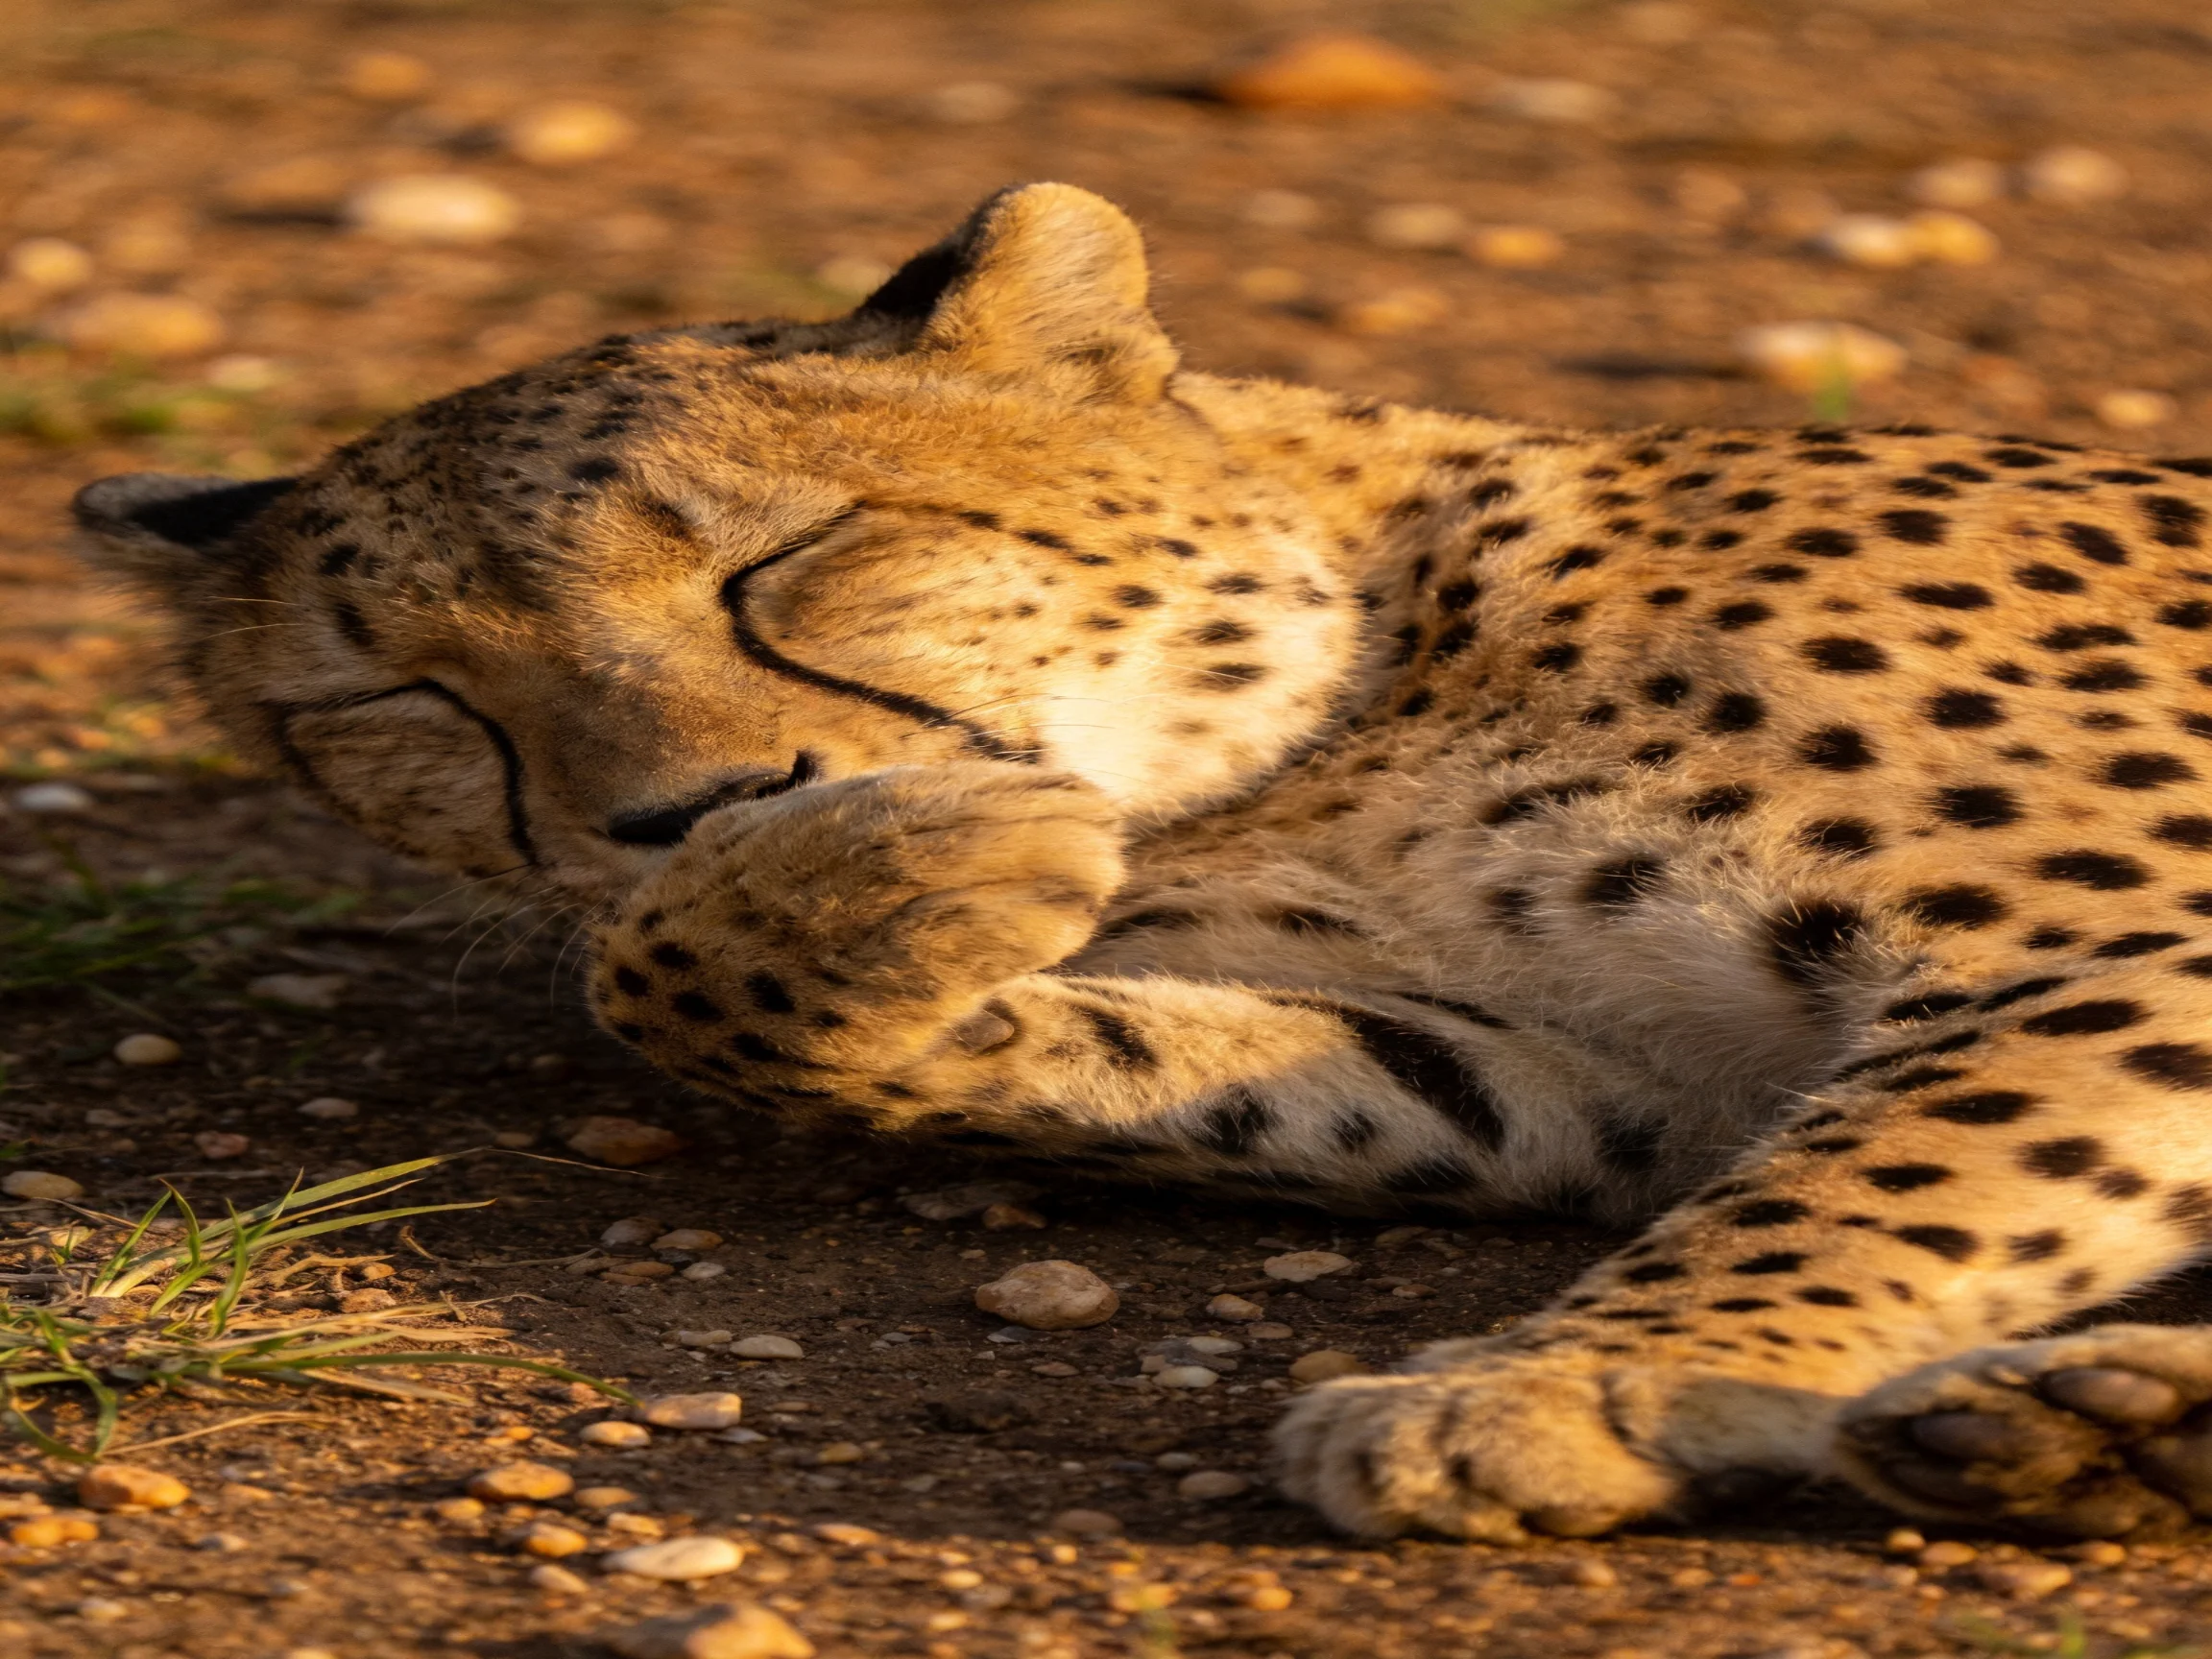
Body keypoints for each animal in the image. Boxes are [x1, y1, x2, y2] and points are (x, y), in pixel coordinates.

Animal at [71, 181, 2212, 1545]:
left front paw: (1570, 1386)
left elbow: (1864, 1183)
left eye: (782, 559)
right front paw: (862, 898)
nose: (678, 812)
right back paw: (2088, 1434)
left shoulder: (2112, 942)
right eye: (411, 697)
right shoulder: (1602, 1084)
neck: (1350, 699)